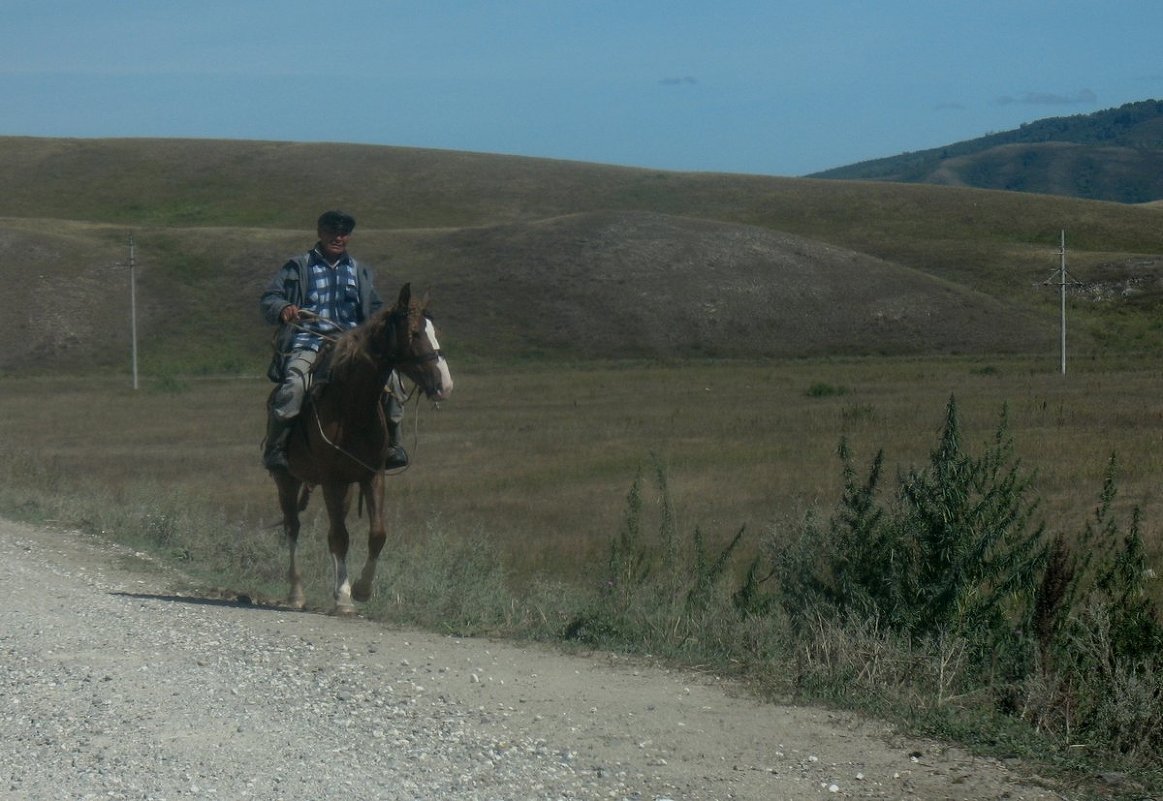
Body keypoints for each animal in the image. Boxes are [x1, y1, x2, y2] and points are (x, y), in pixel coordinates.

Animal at [269, 284, 451, 613]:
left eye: (434, 330)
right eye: (414, 333)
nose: (445, 384)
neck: (352, 406)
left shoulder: (371, 475)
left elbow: (376, 534)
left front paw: (361, 589)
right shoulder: (331, 479)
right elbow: (339, 536)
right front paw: (344, 597)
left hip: (345, 486)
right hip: (287, 481)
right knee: (293, 527)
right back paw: (297, 591)